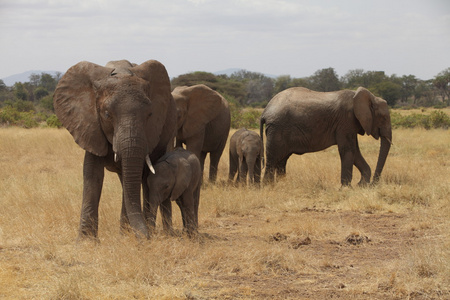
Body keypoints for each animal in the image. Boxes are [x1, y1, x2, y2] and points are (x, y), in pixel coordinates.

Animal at [53, 59, 177, 240]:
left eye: (150, 114)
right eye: (106, 115)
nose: (146, 238)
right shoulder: (90, 126)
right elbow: (92, 175)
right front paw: (86, 241)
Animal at [260, 85, 390, 186]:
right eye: (383, 118)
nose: (373, 184)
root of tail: (265, 111)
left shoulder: (350, 124)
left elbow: (355, 151)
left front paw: (361, 185)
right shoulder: (346, 120)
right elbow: (348, 150)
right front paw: (347, 188)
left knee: (282, 160)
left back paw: (283, 184)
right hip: (277, 129)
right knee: (273, 159)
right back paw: (269, 187)